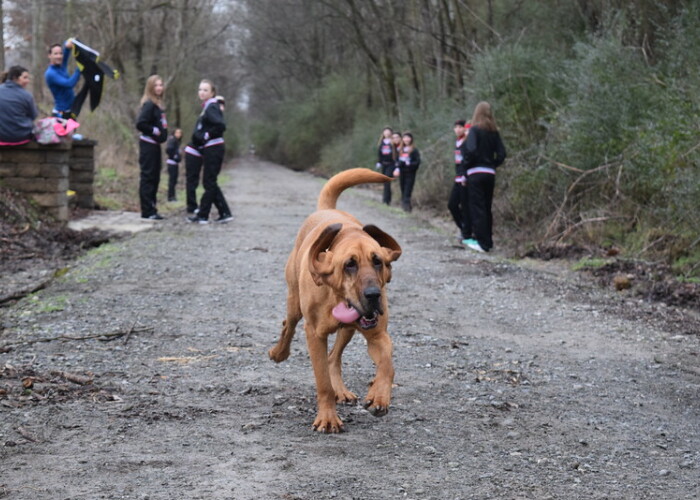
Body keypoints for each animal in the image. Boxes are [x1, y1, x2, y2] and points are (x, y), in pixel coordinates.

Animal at [268, 169, 402, 434]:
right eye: (349, 264)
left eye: (378, 261)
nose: (373, 295)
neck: (335, 296)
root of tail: (325, 209)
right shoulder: (314, 334)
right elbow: (322, 382)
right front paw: (328, 418)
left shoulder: (378, 335)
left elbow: (387, 365)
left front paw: (379, 396)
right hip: (294, 304)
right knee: (288, 326)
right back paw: (279, 353)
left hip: (348, 329)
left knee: (334, 357)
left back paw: (342, 390)